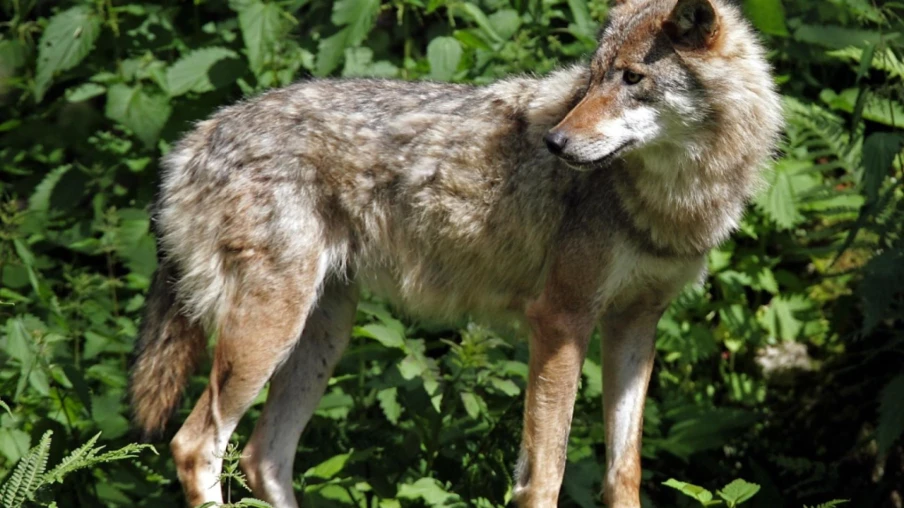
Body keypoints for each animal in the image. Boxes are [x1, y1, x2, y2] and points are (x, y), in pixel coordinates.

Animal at [129, 0, 782, 505]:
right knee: (195, 446)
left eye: (631, 79)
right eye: (593, 78)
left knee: (264, 457)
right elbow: (545, 476)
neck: (673, 200)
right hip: (269, 332)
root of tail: (192, 138)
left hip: (322, 338)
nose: (554, 143)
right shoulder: (560, 320)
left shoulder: (635, 325)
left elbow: (625, 474)